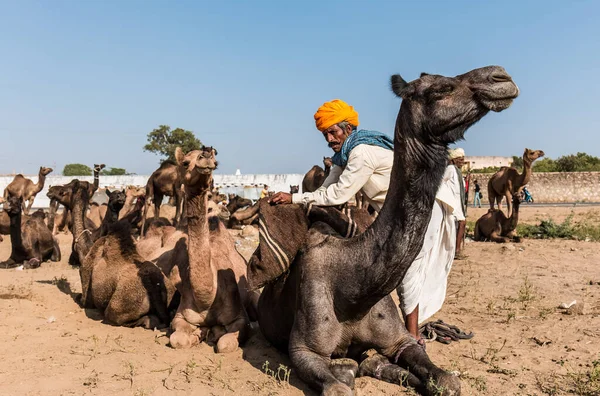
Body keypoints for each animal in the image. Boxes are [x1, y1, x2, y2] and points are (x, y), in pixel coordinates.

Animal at [166, 147, 258, 354]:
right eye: (185, 162)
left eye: (216, 160)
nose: (206, 154)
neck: (207, 298)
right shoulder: (180, 316)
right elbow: (177, 338)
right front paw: (196, 336)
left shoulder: (241, 319)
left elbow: (225, 344)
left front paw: (213, 335)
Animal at [255, 63, 516, 394]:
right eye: (440, 89)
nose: (500, 76)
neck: (353, 289)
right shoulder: (304, 350)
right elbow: (338, 386)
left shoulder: (398, 340)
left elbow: (446, 380)